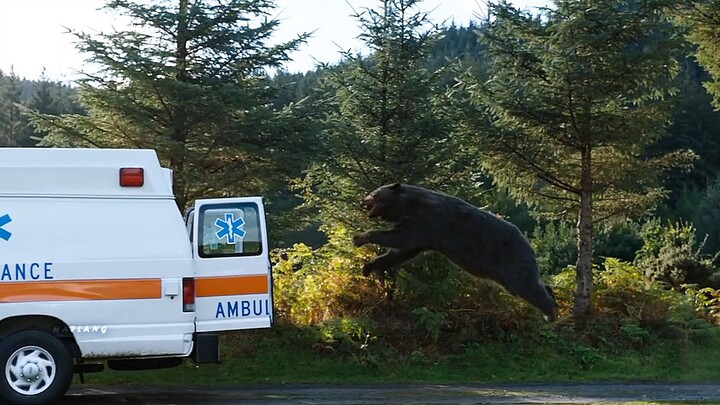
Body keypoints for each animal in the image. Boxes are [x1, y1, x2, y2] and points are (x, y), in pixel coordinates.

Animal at [352, 182, 557, 322]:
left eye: (375, 193)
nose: (362, 200)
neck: (410, 207)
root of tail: (528, 243)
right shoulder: (422, 233)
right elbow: (400, 252)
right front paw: (369, 266)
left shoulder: (428, 223)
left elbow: (399, 239)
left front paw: (360, 237)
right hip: (505, 273)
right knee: (530, 284)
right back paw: (551, 294)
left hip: (510, 260)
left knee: (527, 286)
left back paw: (550, 313)